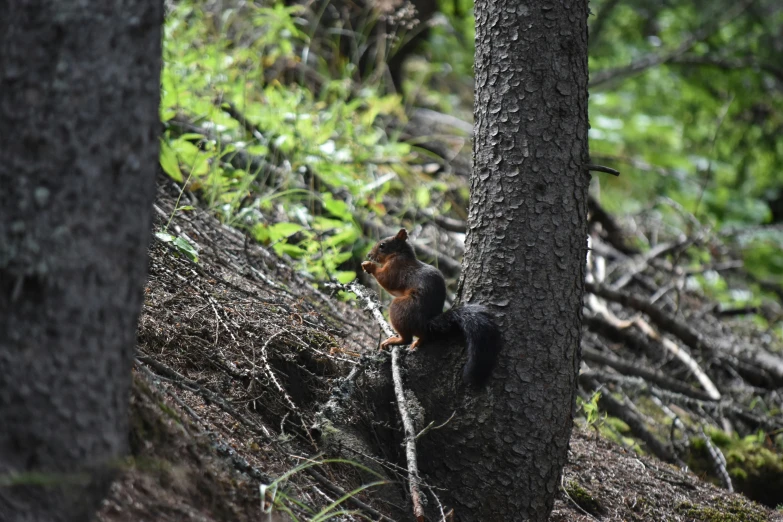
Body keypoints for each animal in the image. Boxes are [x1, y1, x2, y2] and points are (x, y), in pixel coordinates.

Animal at [362, 230, 502, 384]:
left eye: (382, 245)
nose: (369, 255)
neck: (399, 254)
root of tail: (427, 322)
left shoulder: (396, 268)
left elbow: (387, 280)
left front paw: (369, 265)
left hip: (400, 308)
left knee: (407, 338)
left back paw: (396, 340)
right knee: (424, 335)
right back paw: (417, 342)